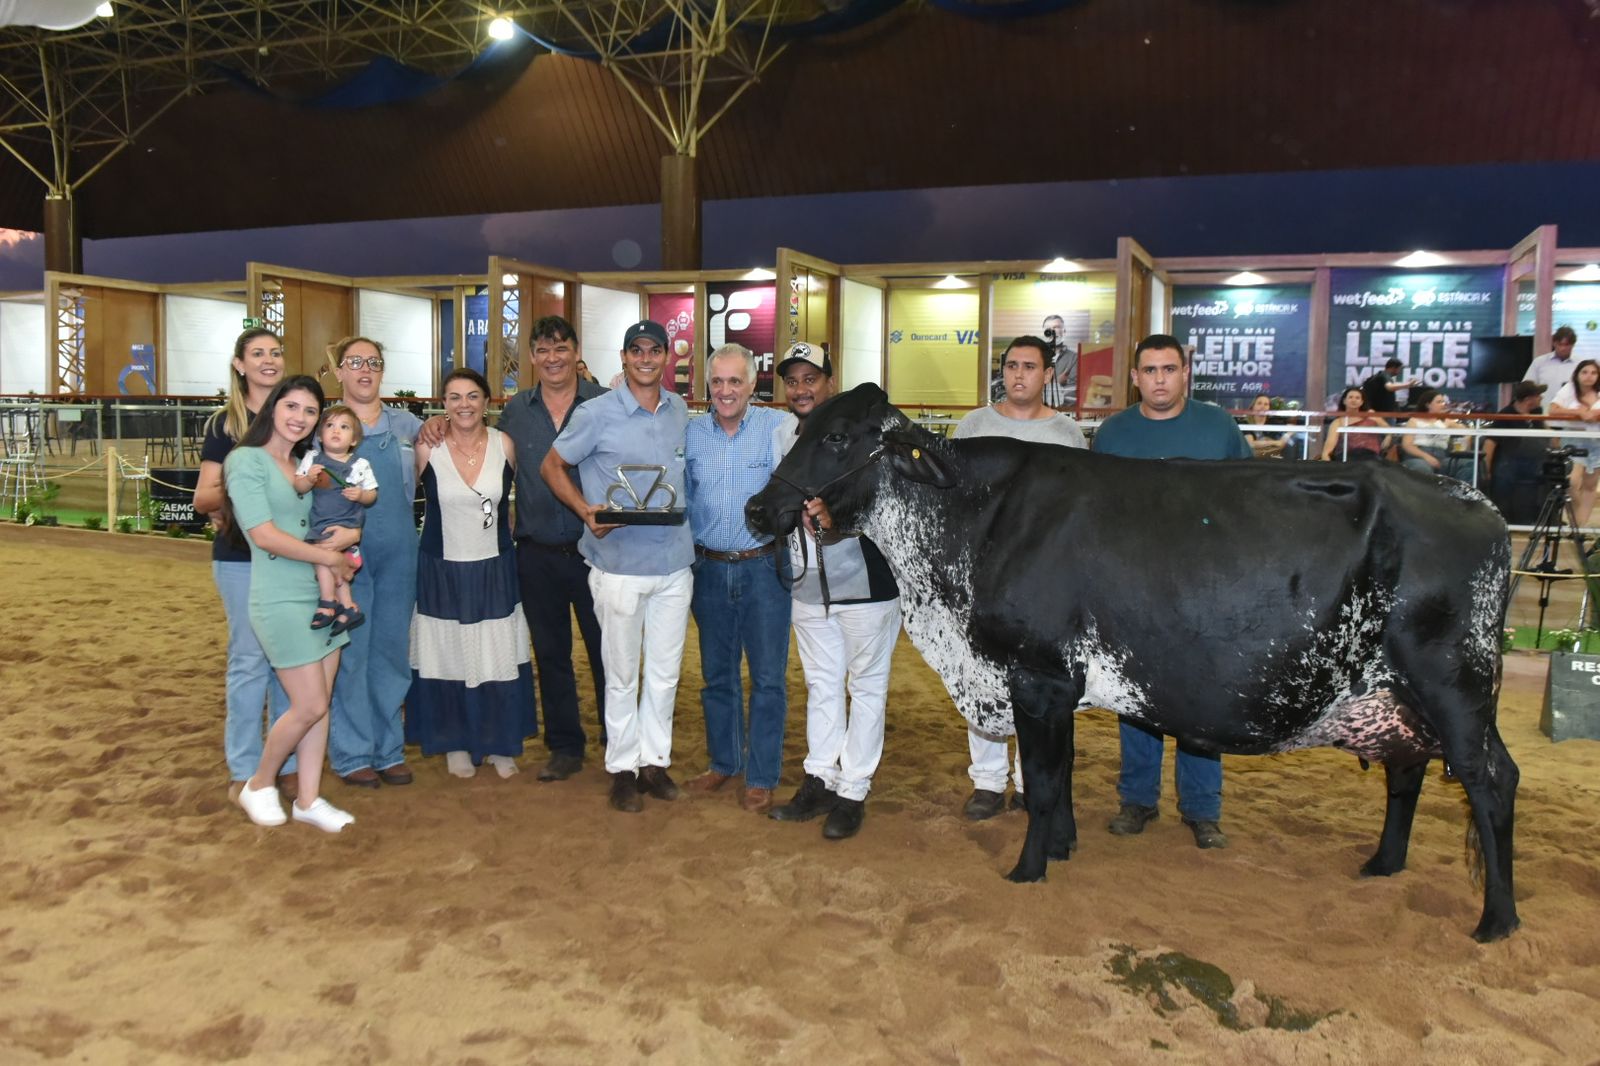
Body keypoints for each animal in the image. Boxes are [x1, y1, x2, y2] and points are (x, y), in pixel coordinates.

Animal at [748, 382, 1523, 941]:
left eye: (838, 437)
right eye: (799, 429)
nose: (759, 510)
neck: (970, 523)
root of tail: (1474, 501)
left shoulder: (1038, 676)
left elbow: (1047, 781)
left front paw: (1028, 869)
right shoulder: (1049, 686)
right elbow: (1055, 777)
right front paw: (1062, 849)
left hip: (1454, 680)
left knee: (1490, 780)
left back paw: (1497, 918)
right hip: (1399, 692)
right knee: (1408, 767)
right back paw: (1383, 864)